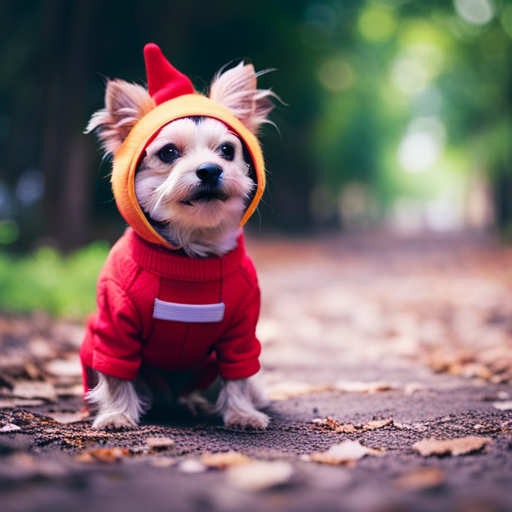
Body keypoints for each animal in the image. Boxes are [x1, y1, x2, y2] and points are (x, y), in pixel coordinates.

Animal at [82, 43, 278, 428]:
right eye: (169, 152)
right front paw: (117, 415)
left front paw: (241, 413)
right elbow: (116, 374)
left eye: (227, 151)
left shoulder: (241, 332)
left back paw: (196, 403)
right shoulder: (114, 328)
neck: (191, 254)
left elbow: (238, 374)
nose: (210, 170)